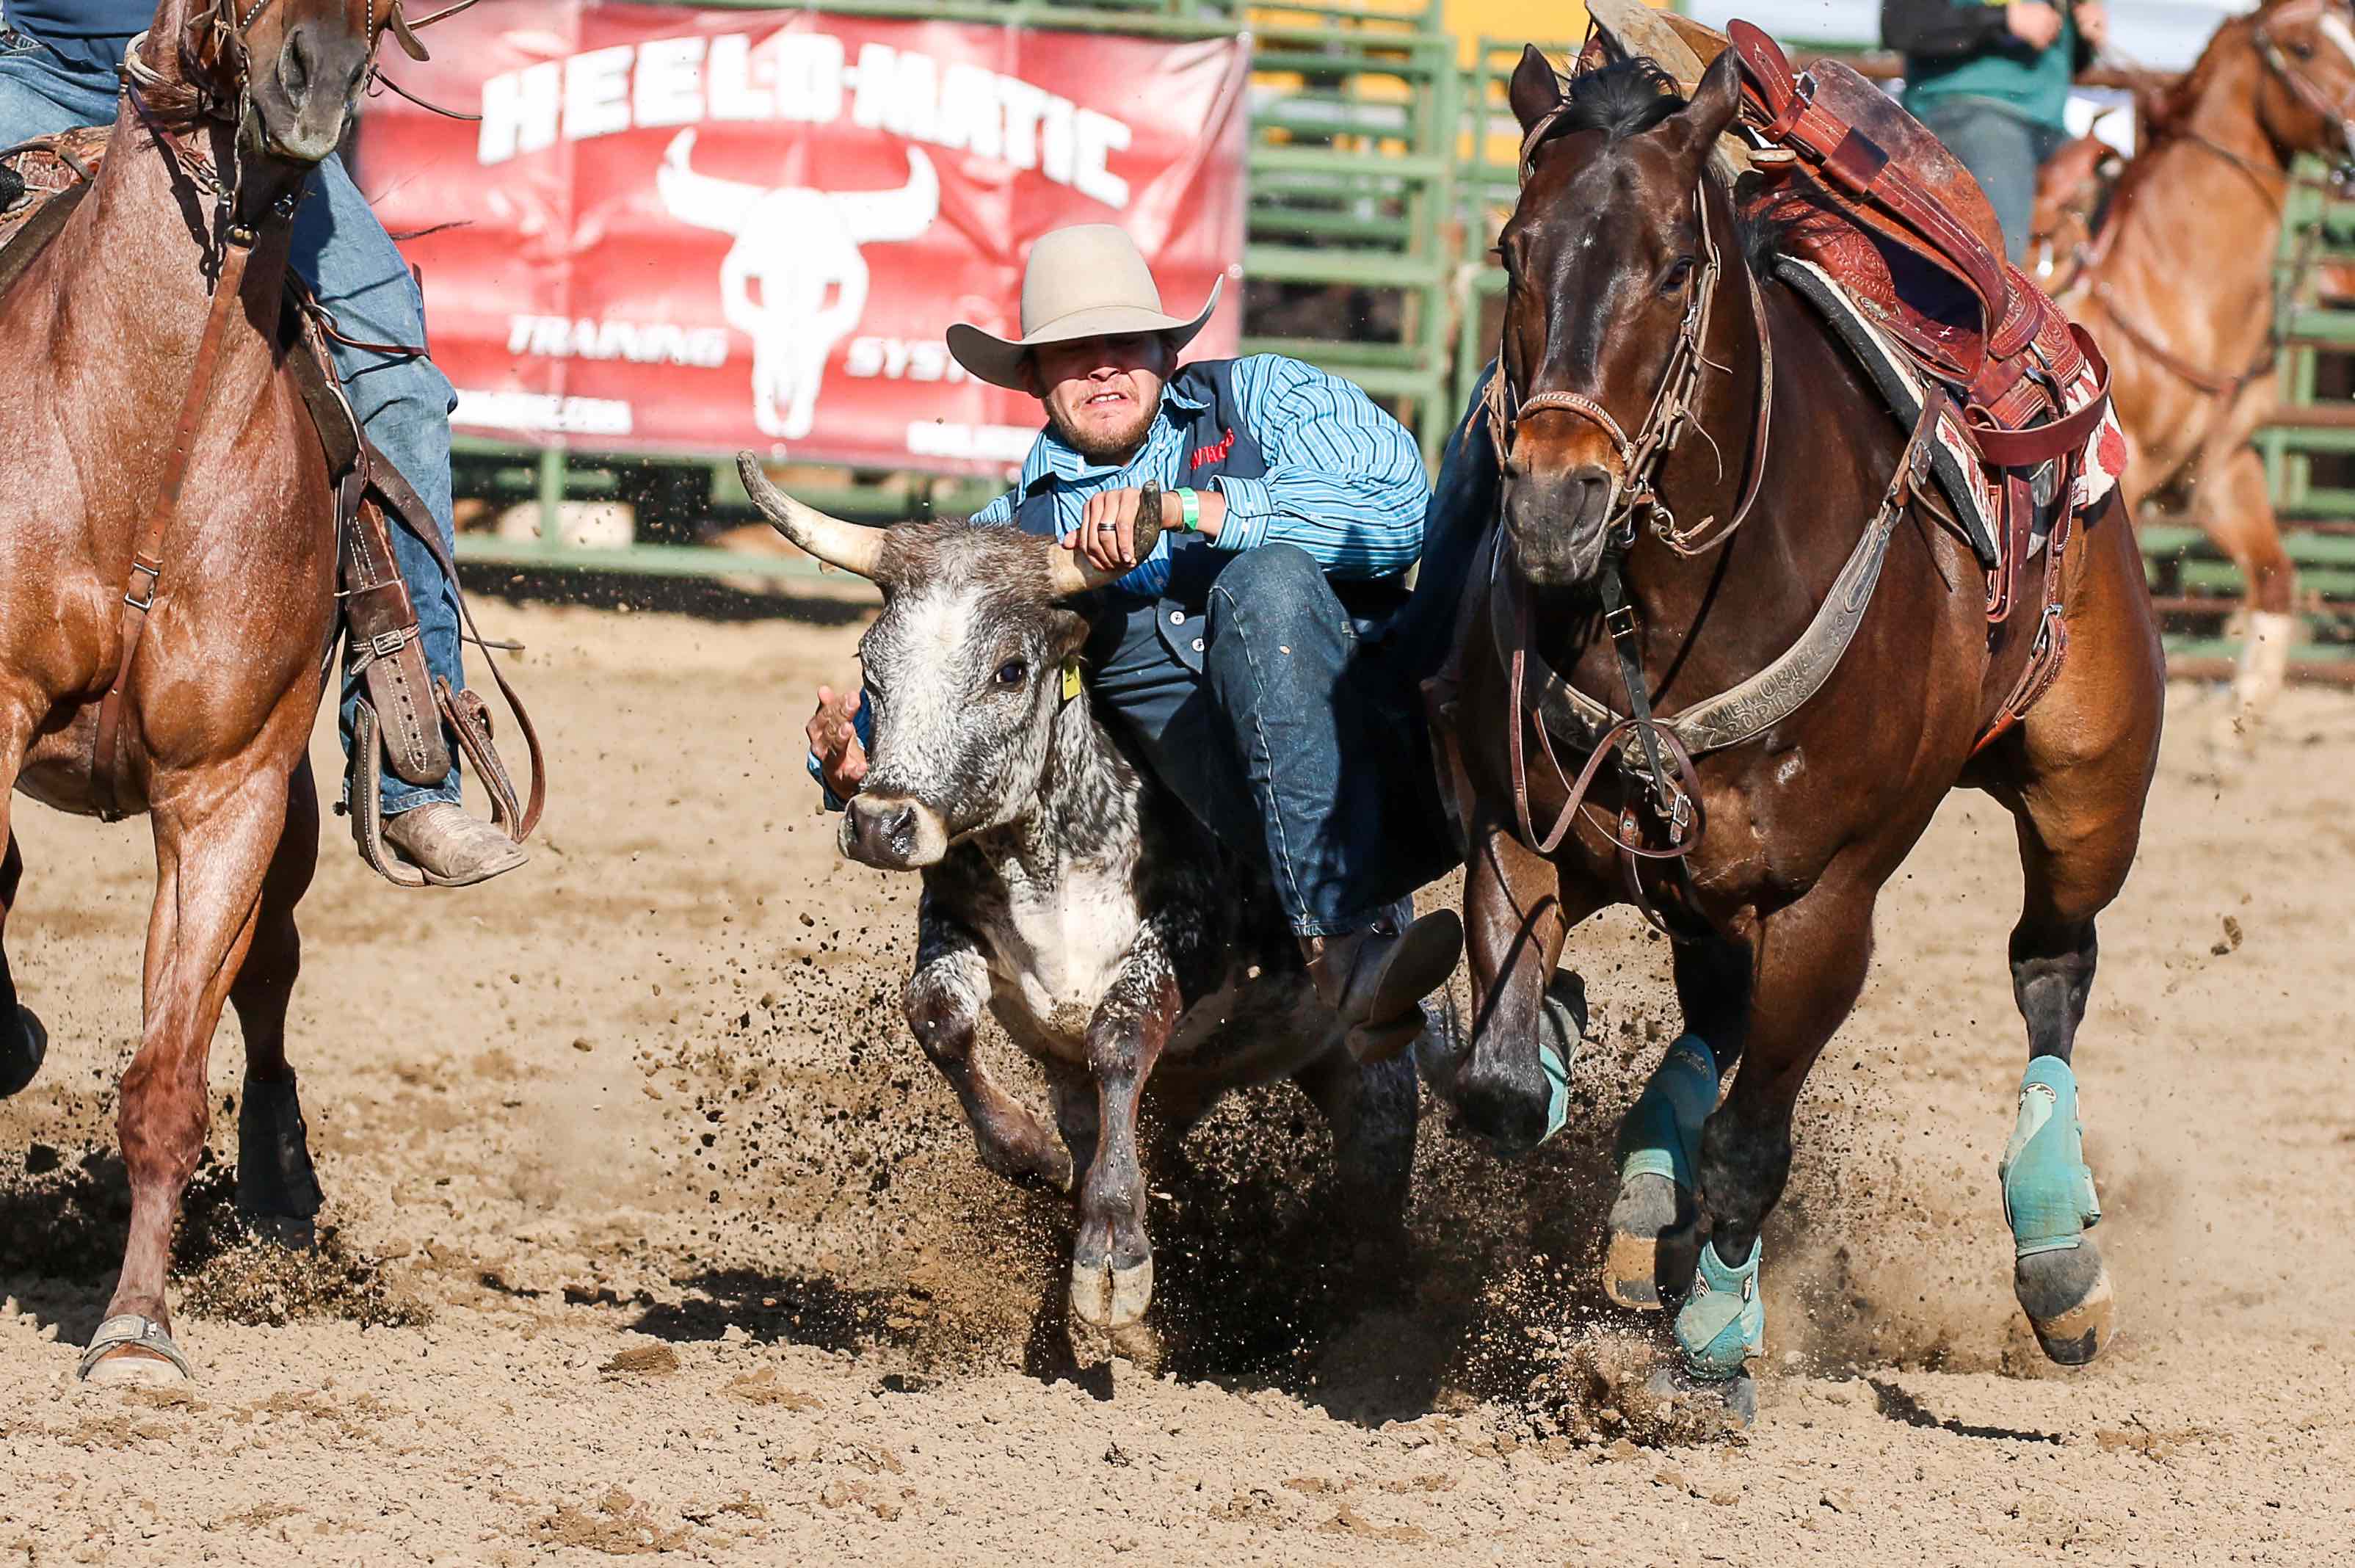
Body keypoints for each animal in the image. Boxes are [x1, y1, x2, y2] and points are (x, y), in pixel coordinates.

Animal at [0, 0, 412, 1375]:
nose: (314, 79)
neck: (147, 440)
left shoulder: (228, 788)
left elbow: (170, 1075)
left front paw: (136, 1326)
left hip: (284, 806)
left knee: (270, 963)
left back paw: (281, 1183)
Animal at [1412, 48, 2166, 1412]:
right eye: (1511, 249)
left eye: (1672, 266)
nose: (1553, 503)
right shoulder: (1511, 828)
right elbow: (1497, 1082)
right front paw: (1552, 1052)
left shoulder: (1829, 905)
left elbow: (1754, 1142)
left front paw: (1713, 1335)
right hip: (1708, 878)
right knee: (1715, 1002)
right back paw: (1640, 1190)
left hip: (2091, 785)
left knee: (2051, 963)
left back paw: (2054, 1252)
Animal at [2053, 0, 2355, 734]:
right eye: (2305, 48)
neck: (2176, 283)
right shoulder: (2123, 481)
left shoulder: (2218, 469)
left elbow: (2276, 578)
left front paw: (2242, 712)